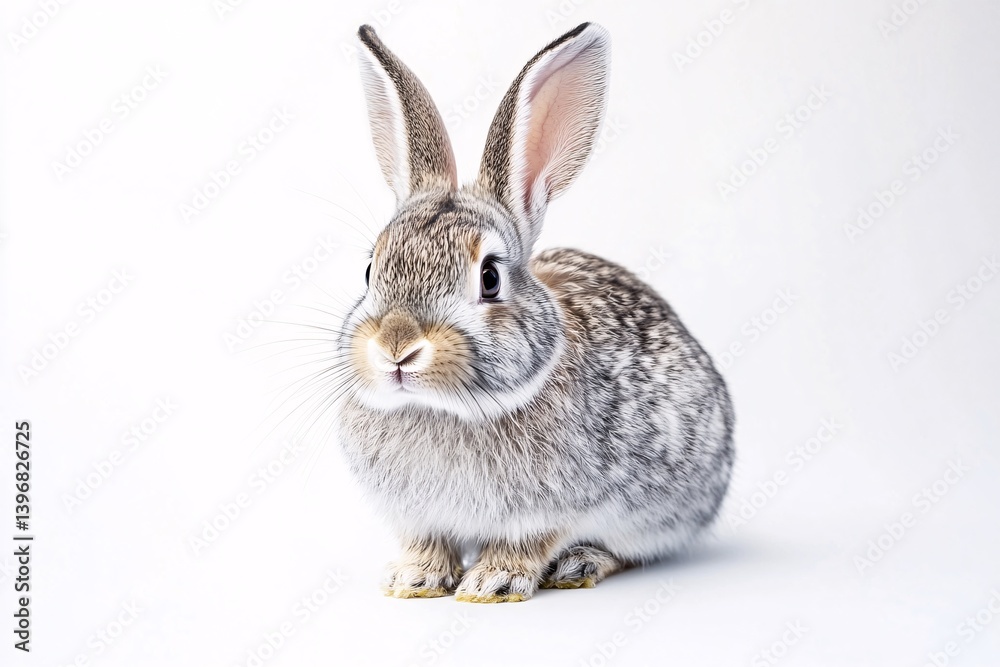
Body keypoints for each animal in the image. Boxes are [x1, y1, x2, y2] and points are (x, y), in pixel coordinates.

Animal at [334, 22, 734, 603]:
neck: (444, 409)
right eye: (370, 270)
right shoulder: (418, 518)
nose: (396, 348)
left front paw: (491, 583)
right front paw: (414, 578)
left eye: (490, 278)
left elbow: (526, 544)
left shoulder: (555, 509)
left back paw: (580, 564)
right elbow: (427, 544)